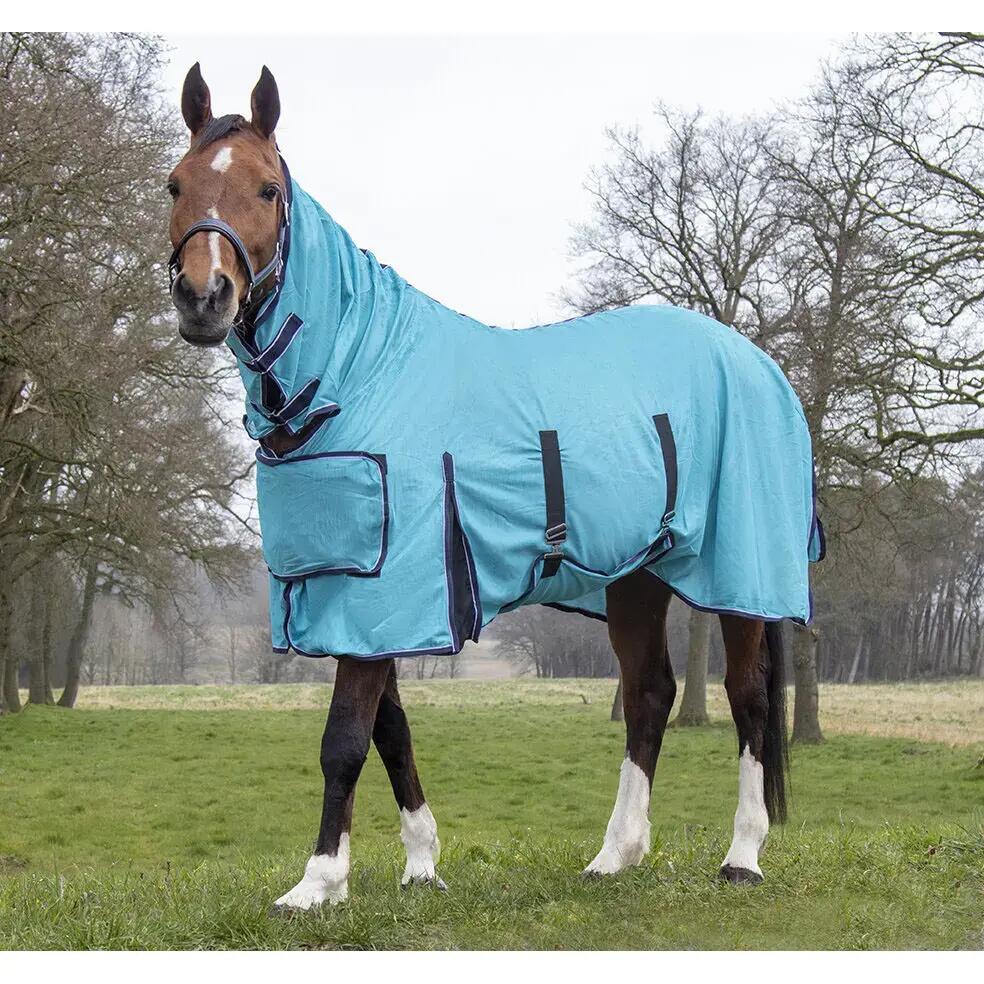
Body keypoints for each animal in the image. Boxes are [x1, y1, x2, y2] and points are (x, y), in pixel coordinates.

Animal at [166, 64, 823, 911]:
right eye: (175, 184)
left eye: (268, 189)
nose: (203, 297)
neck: (359, 371)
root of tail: (758, 362)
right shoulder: (366, 598)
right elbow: (390, 732)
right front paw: (419, 866)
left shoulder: (385, 589)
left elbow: (344, 739)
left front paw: (316, 885)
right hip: (636, 576)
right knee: (650, 692)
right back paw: (616, 855)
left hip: (741, 573)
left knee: (748, 698)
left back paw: (742, 856)